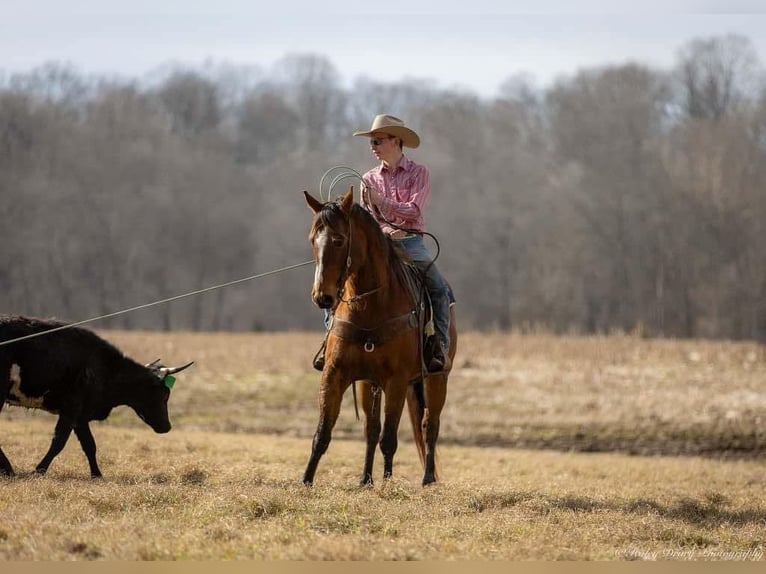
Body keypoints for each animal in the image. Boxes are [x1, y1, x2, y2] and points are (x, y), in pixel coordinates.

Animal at [304, 189, 460, 486]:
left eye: (339, 240)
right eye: (312, 239)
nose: (322, 297)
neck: (371, 305)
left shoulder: (396, 381)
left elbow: (390, 437)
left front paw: (388, 482)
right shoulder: (334, 373)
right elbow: (323, 433)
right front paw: (306, 480)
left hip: (437, 379)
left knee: (429, 425)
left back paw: (427, 478)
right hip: (368, 383)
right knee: (371, 428)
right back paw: (366, 478)